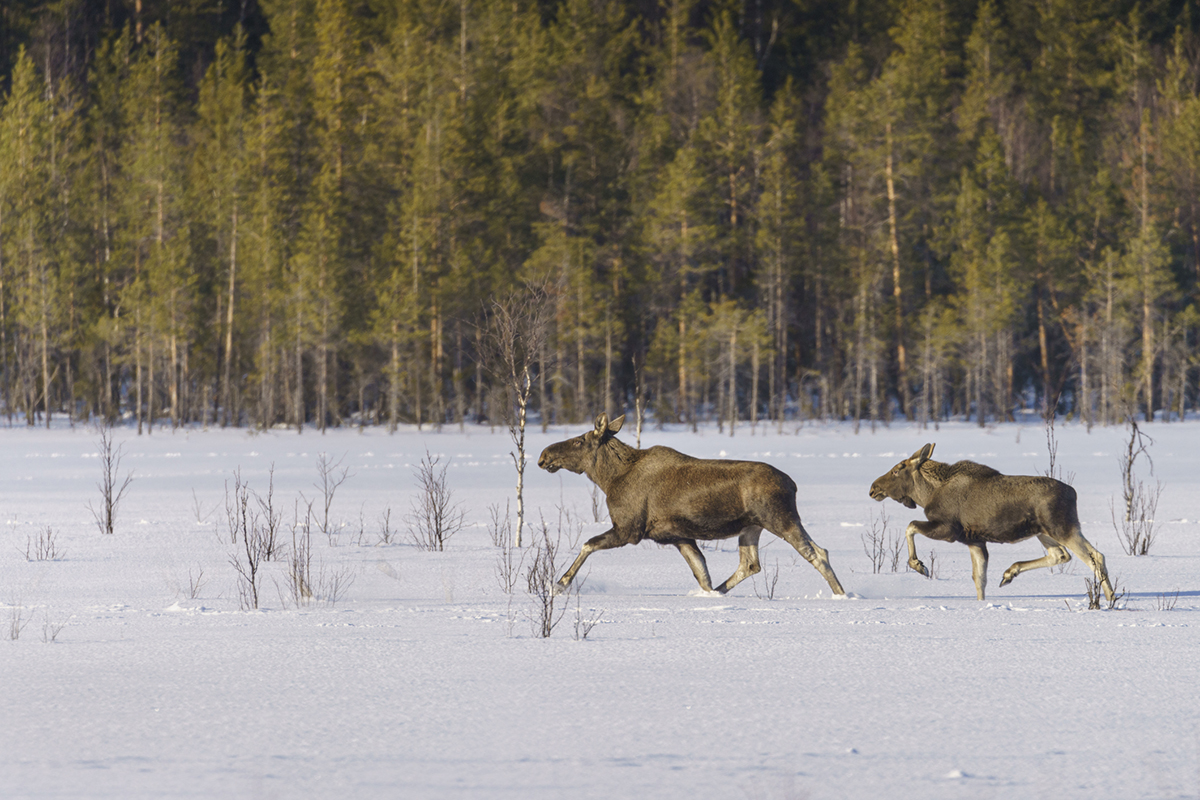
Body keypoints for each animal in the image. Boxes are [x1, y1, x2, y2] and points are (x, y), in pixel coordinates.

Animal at [536, 413, 846, 597]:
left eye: (579, 441)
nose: (543, 456)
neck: (609, 479)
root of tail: (792, 484)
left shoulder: (629, 529)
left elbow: (587, 545)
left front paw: (560, 584)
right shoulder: (679, 536)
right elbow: (702, 573)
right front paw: (708, 595)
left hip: (780, 519)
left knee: (818, 553)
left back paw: (841, 594)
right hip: (751, 527)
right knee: (750, 564)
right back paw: (721, 591)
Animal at [869, 443, 1115, 602]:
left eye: (897, 470)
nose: (873, 488)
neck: (927, 493)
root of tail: (1073, 493)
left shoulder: (948, 530)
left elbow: (910, 526)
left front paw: (920, 566)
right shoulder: (975, 540)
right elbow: (979, 579)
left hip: (1062, 528)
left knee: (1095, 556)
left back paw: (1111, 598)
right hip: (1043, 531)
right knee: (1060, 555)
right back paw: (1009, 573)